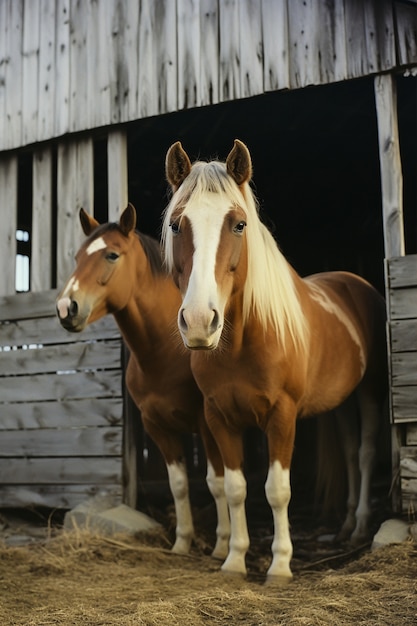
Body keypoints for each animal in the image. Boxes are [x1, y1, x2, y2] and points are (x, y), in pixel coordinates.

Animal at [55, 204, 229, 556]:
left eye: (112, 255)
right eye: (77, 257)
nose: (67, 307)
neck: (167, 352)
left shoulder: (207, 425)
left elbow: (217, 483)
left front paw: (222, 547)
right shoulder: (158, 427)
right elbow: (179, 485)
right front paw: (182, 543)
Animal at [162, 140, 386, 580]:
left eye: (239, 225)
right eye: (177, 225)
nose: (198, 322)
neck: (243, 345)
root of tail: (354, 283)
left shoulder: (282, 416)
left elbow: (277, 490)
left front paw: (280, 564)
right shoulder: (219, 417)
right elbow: (236, 488)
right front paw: (234, 559)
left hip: (369, 392)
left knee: (367, 452)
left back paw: (359, 528)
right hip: (339, 402)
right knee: (350, 451)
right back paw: (346, 525)